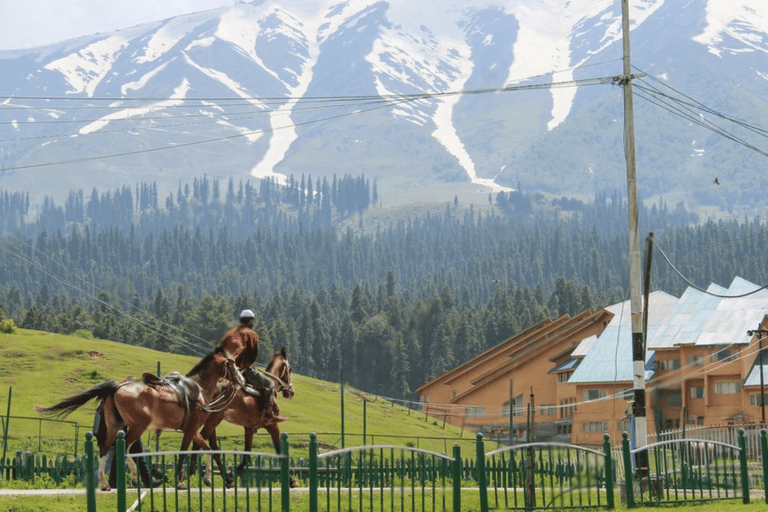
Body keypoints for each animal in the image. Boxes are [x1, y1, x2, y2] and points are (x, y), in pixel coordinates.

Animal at [35, 348, 243, 491]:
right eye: (232, 364)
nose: (241, 380)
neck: (198, 390)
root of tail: (117, 386)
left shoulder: (193, 430)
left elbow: (208, 450)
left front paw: (208, 478)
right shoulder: (190, 429)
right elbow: (184, 453)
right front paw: (180, 481)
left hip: (115, 427)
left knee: (106, 449)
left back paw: (106, 484)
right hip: (137, 427)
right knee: (125, 448)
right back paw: (135, 479)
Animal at [193, 347, 295, 488]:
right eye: (289, 369)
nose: (291, 391)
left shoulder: (249, 429)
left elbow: (247, 453)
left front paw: (236, 473)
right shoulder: (272, 425)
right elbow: (279, 451)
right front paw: (292, 480)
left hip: (211, 420)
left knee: (211, 445)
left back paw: (226, 478)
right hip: (214, 419)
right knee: (201, 440)